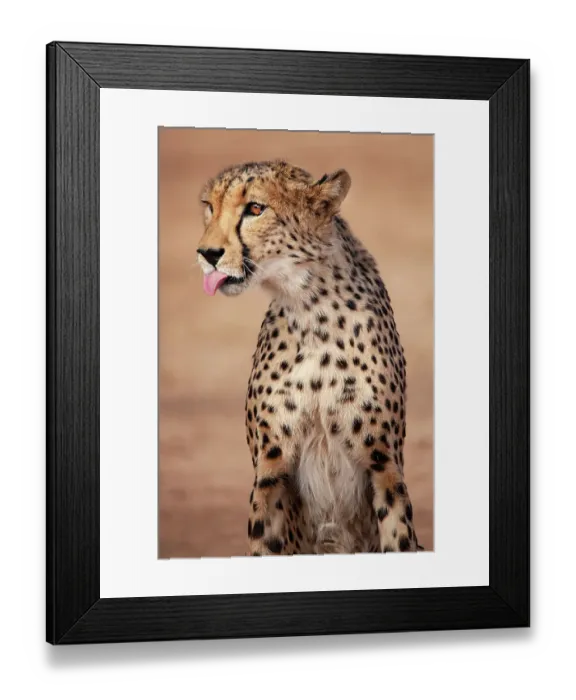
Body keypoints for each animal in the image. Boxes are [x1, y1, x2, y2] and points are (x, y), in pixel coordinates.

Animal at [196, 159, 421, 556]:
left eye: (255, 208)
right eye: (210, 206)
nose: (207, 255)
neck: (310, 306)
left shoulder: (384, 467)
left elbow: (396, 533)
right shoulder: (271, 471)